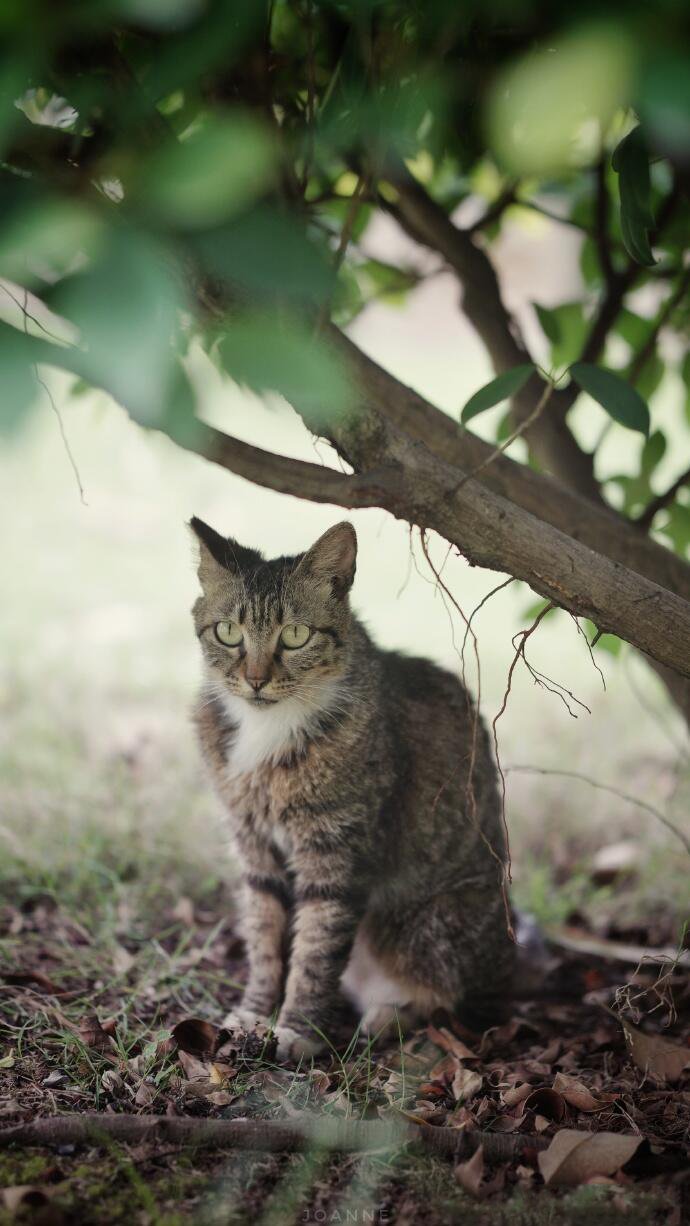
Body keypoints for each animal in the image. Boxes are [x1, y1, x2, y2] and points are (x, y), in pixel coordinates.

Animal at [191, 512, 514, 1059]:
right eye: (229, 631)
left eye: (296, 635)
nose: (255, 679)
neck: (267, 729)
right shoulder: (253, 847)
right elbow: (264, 939)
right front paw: (254, 1013)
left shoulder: (335, 855)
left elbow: (315, 953)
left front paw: (296, 1030)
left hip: (427, 929)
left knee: (444, 999)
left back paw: (386, 1018)